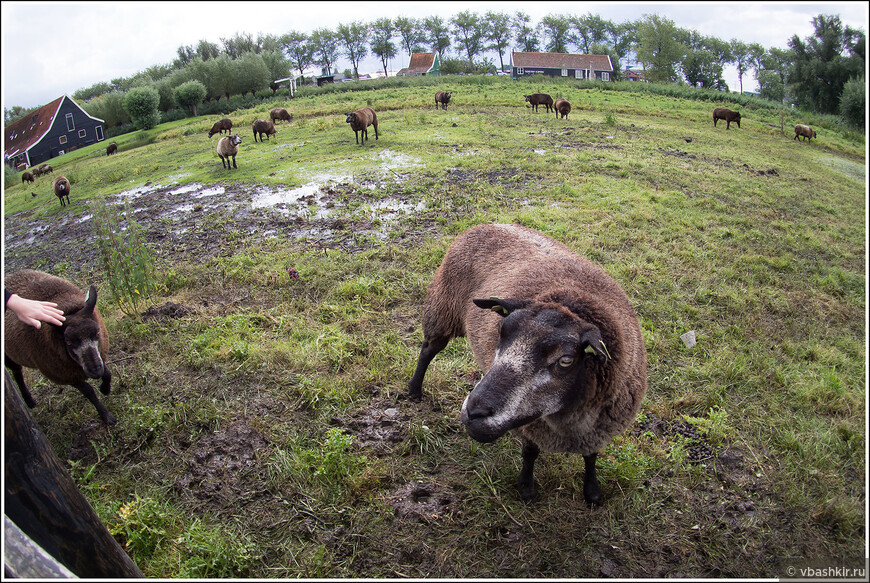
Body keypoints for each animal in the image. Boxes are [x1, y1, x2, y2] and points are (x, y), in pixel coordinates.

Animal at [3, 270, 117, 424]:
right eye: (68, 342)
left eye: (97, 333)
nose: (94, 369)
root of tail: (9, 277)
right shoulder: (62, 373)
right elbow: (89, 392)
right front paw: (106, 416)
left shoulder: (99, 354)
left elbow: (107, 373)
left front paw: (105, 389)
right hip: (8, 355)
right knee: (17, 373)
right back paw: (28, 400)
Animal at [408, 224, 648, 506]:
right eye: (501, 330)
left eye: (565, 361)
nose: (474, 412)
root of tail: (486, 224)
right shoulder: (531, 426)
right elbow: (530, 453)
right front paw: (526, 489)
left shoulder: (598, 429)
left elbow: (591, 458)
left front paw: (592, 492)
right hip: (443, 309)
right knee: (427, 351)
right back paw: (414, 390)